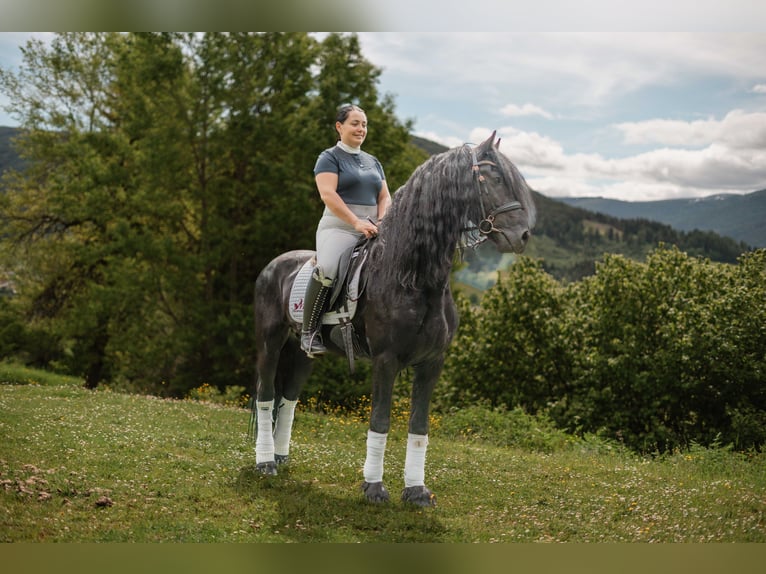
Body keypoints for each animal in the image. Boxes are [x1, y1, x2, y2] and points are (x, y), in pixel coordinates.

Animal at [252, 132, 536, 508]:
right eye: (496, 178)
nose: (523, 236)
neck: (413, 277)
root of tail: (275, 264)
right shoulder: (385, 361)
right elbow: (381, 420)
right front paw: (374, 487)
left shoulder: (432, 363)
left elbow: (419, 426)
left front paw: (416, 490)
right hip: (270, 341)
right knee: (266, 394)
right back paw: (265, 463)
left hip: (304, 352)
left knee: (288, 398)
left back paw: (282, 458)